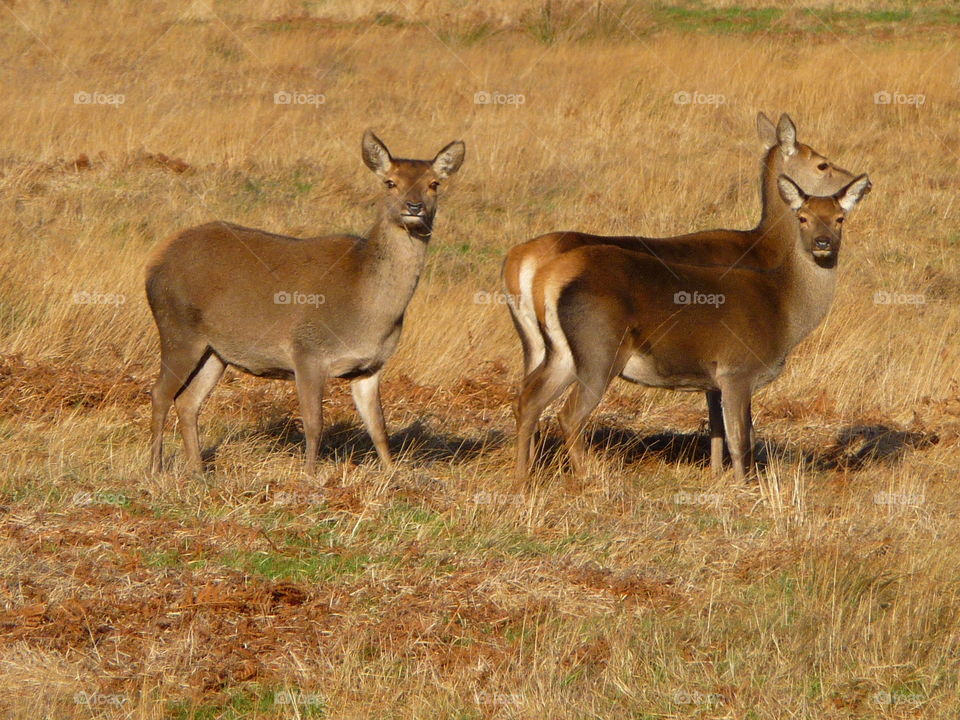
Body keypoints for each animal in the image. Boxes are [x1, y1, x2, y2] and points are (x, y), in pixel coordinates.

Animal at [145, 131, 465, 476]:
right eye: (390, 182)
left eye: (434, 183)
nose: (414, 206)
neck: (368, 313)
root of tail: (155, 260)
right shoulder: (307, 352)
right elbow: (314, 424)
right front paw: (310, 476)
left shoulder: (371, 367)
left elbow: (379, 427)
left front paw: (392, 474)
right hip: (178, 329)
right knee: (160, 393)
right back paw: (155, 468)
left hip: (216, 351)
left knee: (188, 401)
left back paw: (199, 471)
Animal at [503, 113, 859, 476]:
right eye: (822, 164)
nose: (863, 182)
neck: (767, 251)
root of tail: (519, 264)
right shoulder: (732, 365)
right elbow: (732, 427)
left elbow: (717, 423)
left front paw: (716, 471)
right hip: (596, 353)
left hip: (541, 346)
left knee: (527, 399)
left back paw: (524, 475)